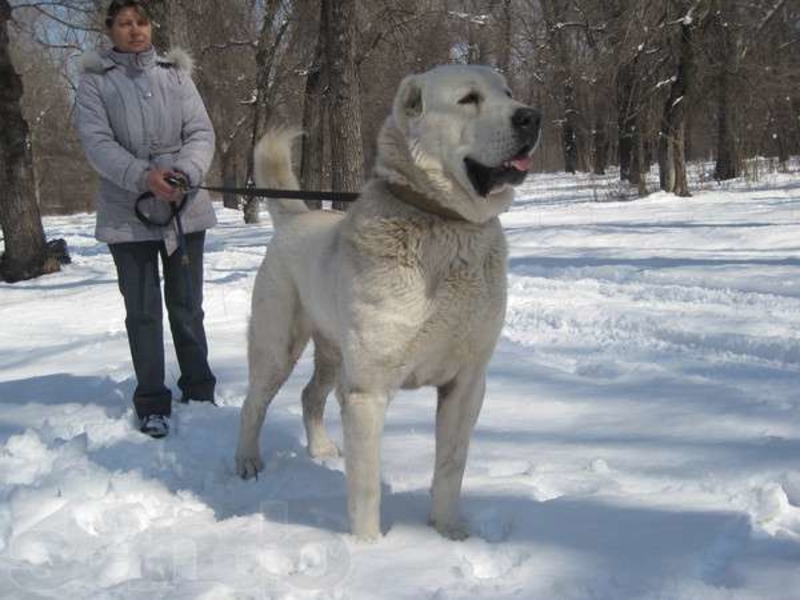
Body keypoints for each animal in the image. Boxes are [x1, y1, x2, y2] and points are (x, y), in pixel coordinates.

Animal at [234, 64, 540, 540]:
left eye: (508, 93)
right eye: (469, 99)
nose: (531, 117)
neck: (446, 225)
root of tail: (294, 219)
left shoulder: (467, 383)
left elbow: (450, 466)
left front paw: (448, 530)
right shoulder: (368, 390)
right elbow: (365, 489)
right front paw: (369, 547)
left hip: (333, 354)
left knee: (310, 396)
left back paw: (320, 449)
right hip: (277, 347)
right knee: (253, 405)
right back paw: (247, 463)